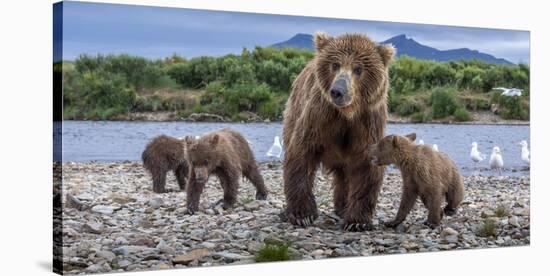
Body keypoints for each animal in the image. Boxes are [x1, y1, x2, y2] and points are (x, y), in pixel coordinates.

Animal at [282, 31, 394, 231]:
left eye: (358, 69)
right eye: (335, 65)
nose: (338, 91)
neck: (346, 114)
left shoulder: (367, 122)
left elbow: (366, 165)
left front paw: (357, 221)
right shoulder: (319, 116)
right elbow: (301, 154)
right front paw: (303, 215)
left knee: (344, 175)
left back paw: (342, 207)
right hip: (293, 111)